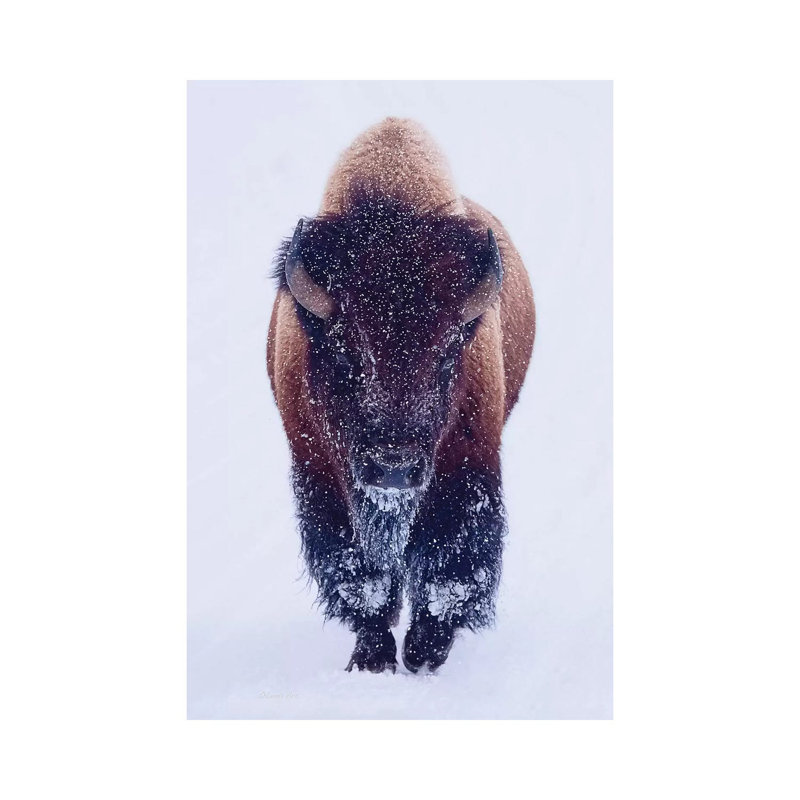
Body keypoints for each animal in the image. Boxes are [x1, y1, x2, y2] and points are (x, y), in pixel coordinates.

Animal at [267, 118, 535, 673]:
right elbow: (361, 576)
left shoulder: (466, 466)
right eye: (343, 351)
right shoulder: (321, 474)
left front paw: (425, 651)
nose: (393, 468)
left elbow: (449, 568)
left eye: (449, 353)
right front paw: (373, 657)